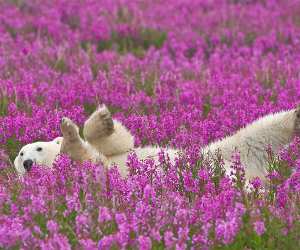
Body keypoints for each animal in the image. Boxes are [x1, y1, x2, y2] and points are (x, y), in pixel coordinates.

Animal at [14, 104, 300, 183]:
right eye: (20, 155)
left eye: (37, 148)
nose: (27, 163)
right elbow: (83, 158)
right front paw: (70, 135)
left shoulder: (114, 154)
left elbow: (121, 143)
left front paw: (101, 120)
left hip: (220, 152)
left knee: (258, 132)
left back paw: (295, 116)